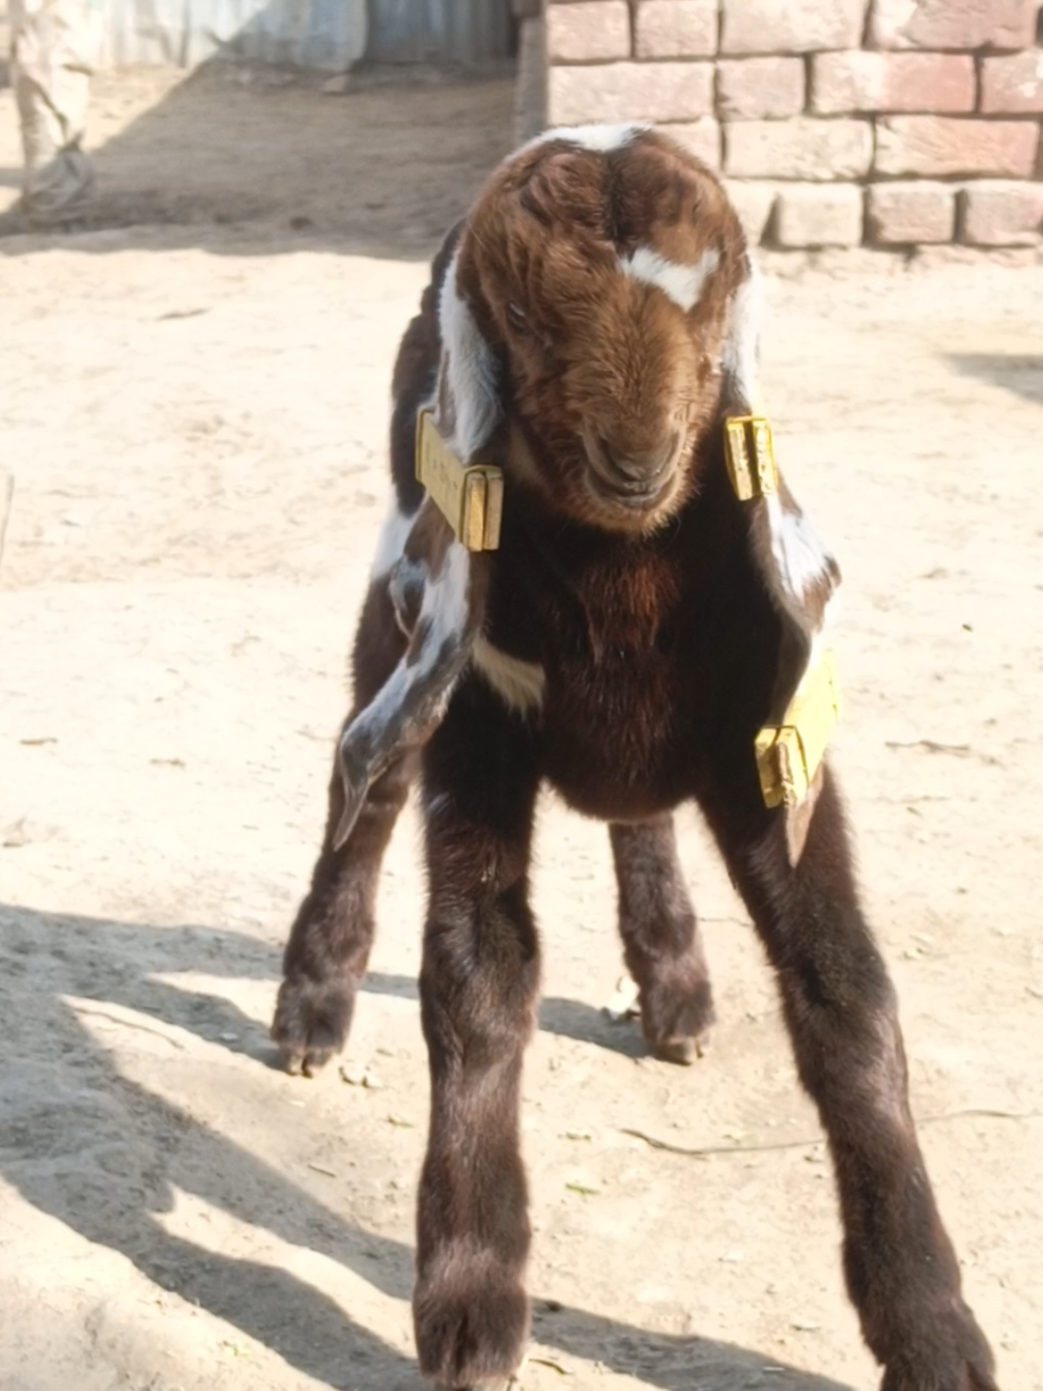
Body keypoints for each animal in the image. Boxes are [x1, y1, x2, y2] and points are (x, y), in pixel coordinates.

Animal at [272, 125, 998, 1391]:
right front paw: (469, 1303)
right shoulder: (472, 718)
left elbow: (847, 991)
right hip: (400, 592)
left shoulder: (767, 738)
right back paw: (313, 998)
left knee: (635, 816)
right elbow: (475, 979)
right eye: (519, 313)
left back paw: (674, 979)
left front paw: (933, 1328)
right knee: (363, 776)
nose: (637, 458)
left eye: (715, 305)